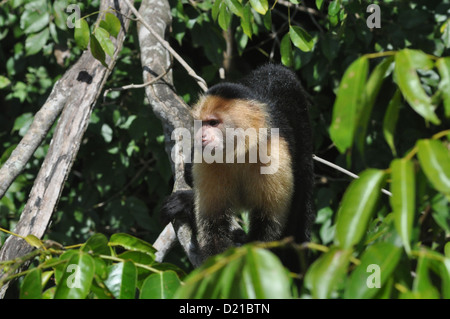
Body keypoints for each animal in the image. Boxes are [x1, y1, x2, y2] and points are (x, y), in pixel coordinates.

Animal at [161, 64, 312, 268]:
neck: (238, 153)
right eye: (202, 124)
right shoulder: (206, 162)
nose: (201, 137)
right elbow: (214, 227)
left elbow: (269, 230)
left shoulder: (275, 153)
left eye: (213, 123)